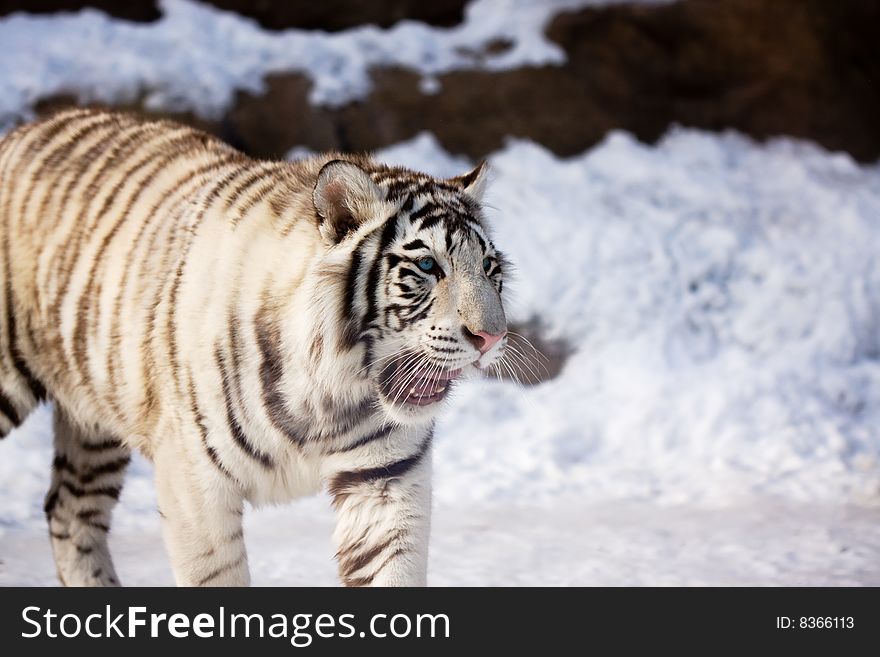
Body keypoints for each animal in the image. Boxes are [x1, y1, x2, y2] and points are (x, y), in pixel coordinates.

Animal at [0, 110, 508, 588]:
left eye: (488, 266)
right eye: (427, 266)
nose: (493, 337)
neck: (331, 391)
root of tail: (21, 131)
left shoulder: (385, 478)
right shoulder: (195, 482)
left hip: (95, 422)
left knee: (69, 511)